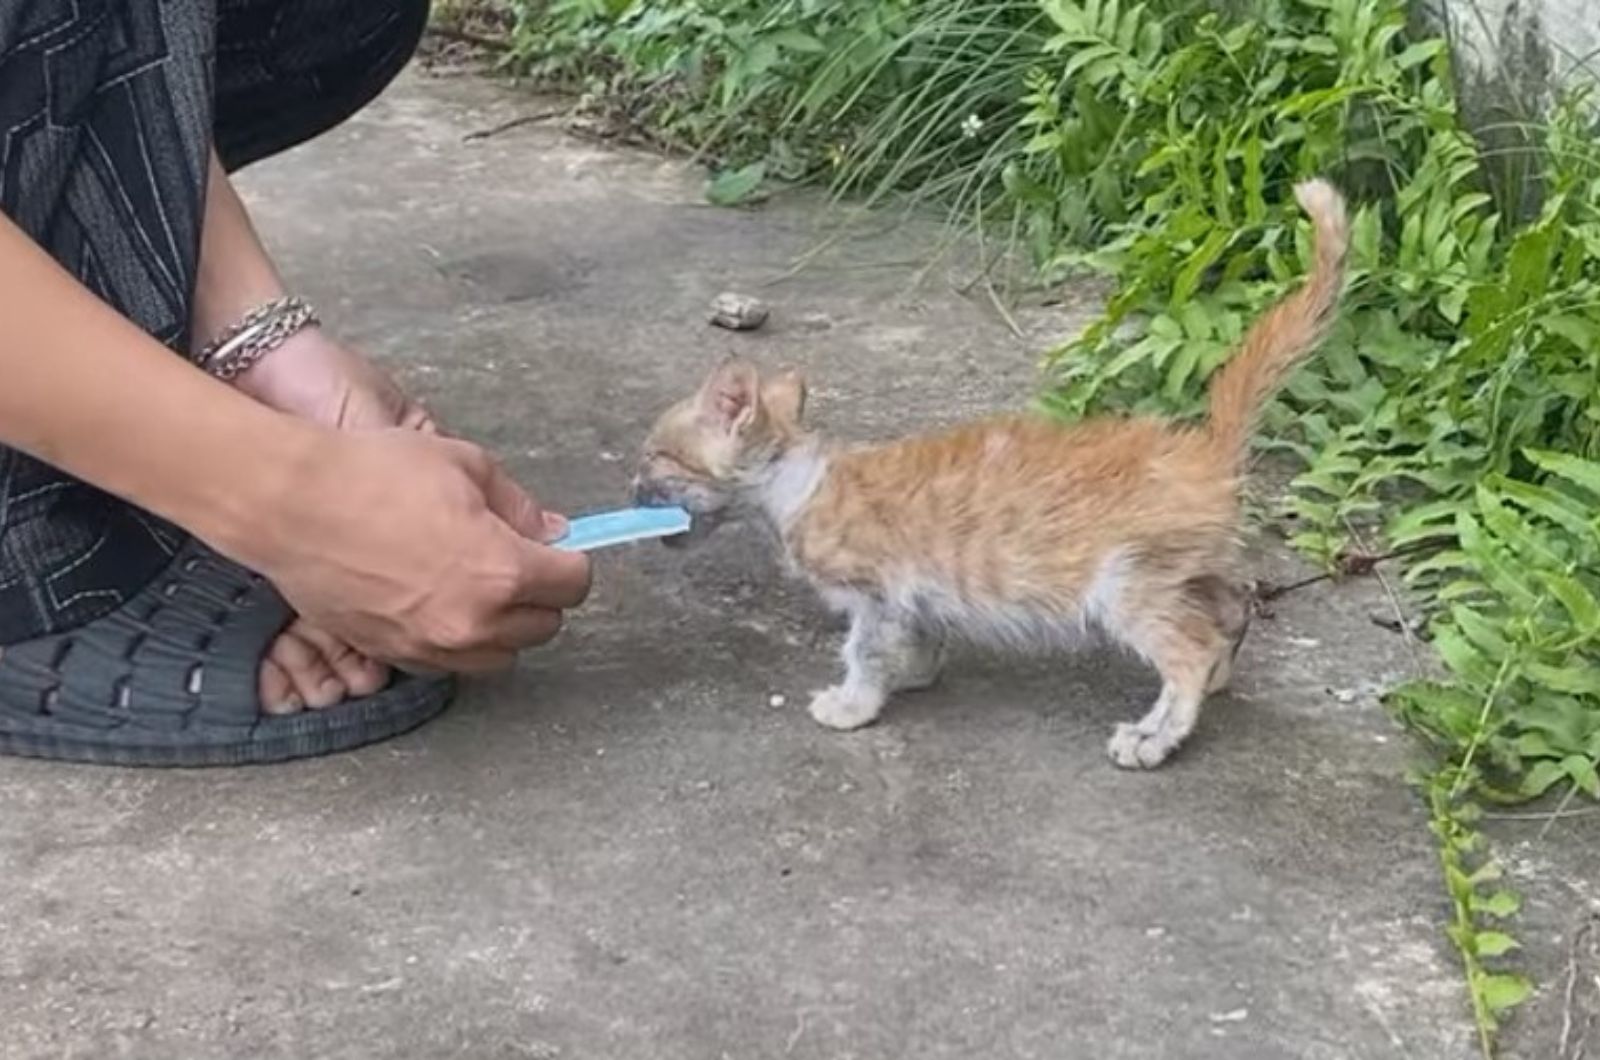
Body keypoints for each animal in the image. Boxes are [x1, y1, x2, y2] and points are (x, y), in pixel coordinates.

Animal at [630, 182, 1344, 771]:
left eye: (652, 458)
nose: (631, 490)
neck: (798, 484)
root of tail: (1201, 446)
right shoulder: (913, 592)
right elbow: (917, 635)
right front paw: (914, 673)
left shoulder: (876, 589)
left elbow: (863, 648)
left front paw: (854, 703)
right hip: (1187, 570)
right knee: (1231, 608)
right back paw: (1217, 674)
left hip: (1124, 584)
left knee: (1188, 652)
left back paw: (1154, 736)